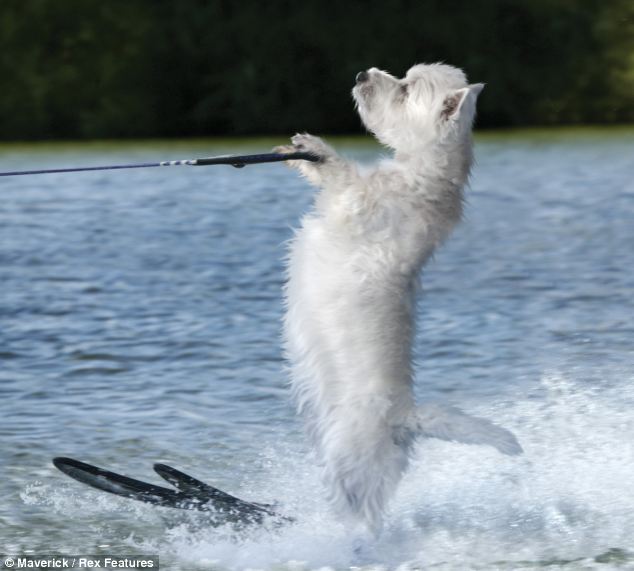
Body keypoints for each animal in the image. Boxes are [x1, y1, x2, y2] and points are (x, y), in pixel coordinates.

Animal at [276, 62, 520, 532]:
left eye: (406, 89)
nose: (361, 73)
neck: (420, 172)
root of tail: (407, 419)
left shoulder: (359, 204)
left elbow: (345, 179)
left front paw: (317, 149)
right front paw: (296, 152)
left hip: (351, 455)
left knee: (360, 509)